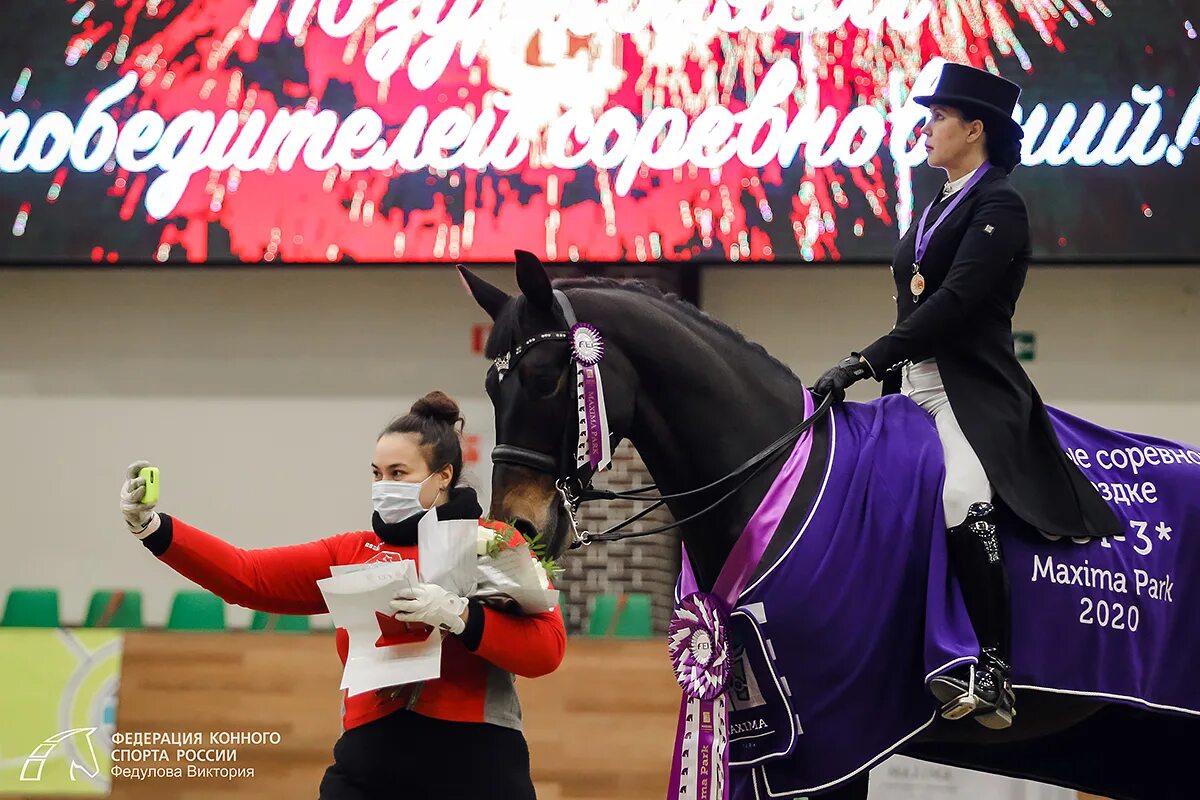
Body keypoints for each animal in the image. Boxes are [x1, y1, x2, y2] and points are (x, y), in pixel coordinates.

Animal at [456, 253, 1190, 796]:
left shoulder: (840, 736)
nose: (514, 527)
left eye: (547, 378)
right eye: (490, 389)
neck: (777, 477)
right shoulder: (759, 743)